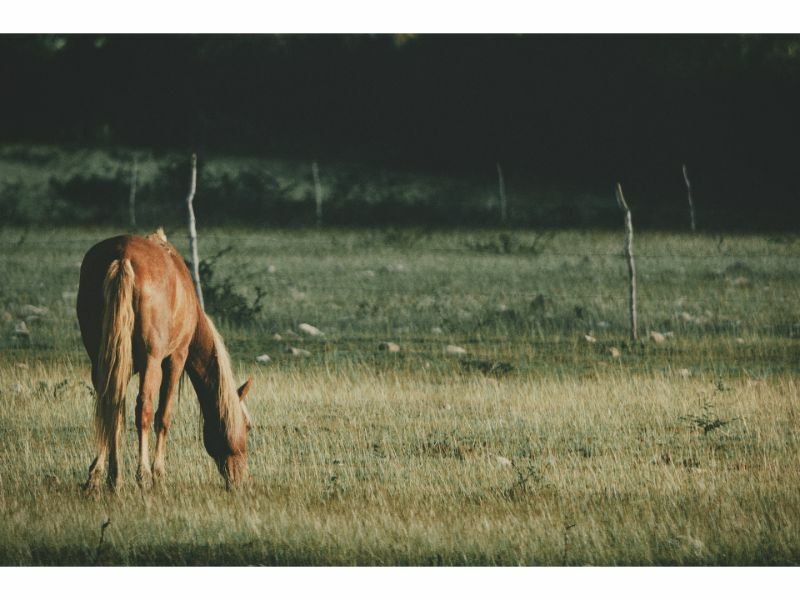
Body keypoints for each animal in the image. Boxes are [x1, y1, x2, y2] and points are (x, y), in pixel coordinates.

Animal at [76, 229, 252, 490]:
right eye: (248, 426)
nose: (241, 481)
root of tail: (122, 257)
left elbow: (115, 413)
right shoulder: (175, 359)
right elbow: (163, 416)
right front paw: (158, 473)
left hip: (102, 360)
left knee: (110, 407)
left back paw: (110, 478)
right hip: (152, 362)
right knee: (144, 410)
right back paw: (143, 474)